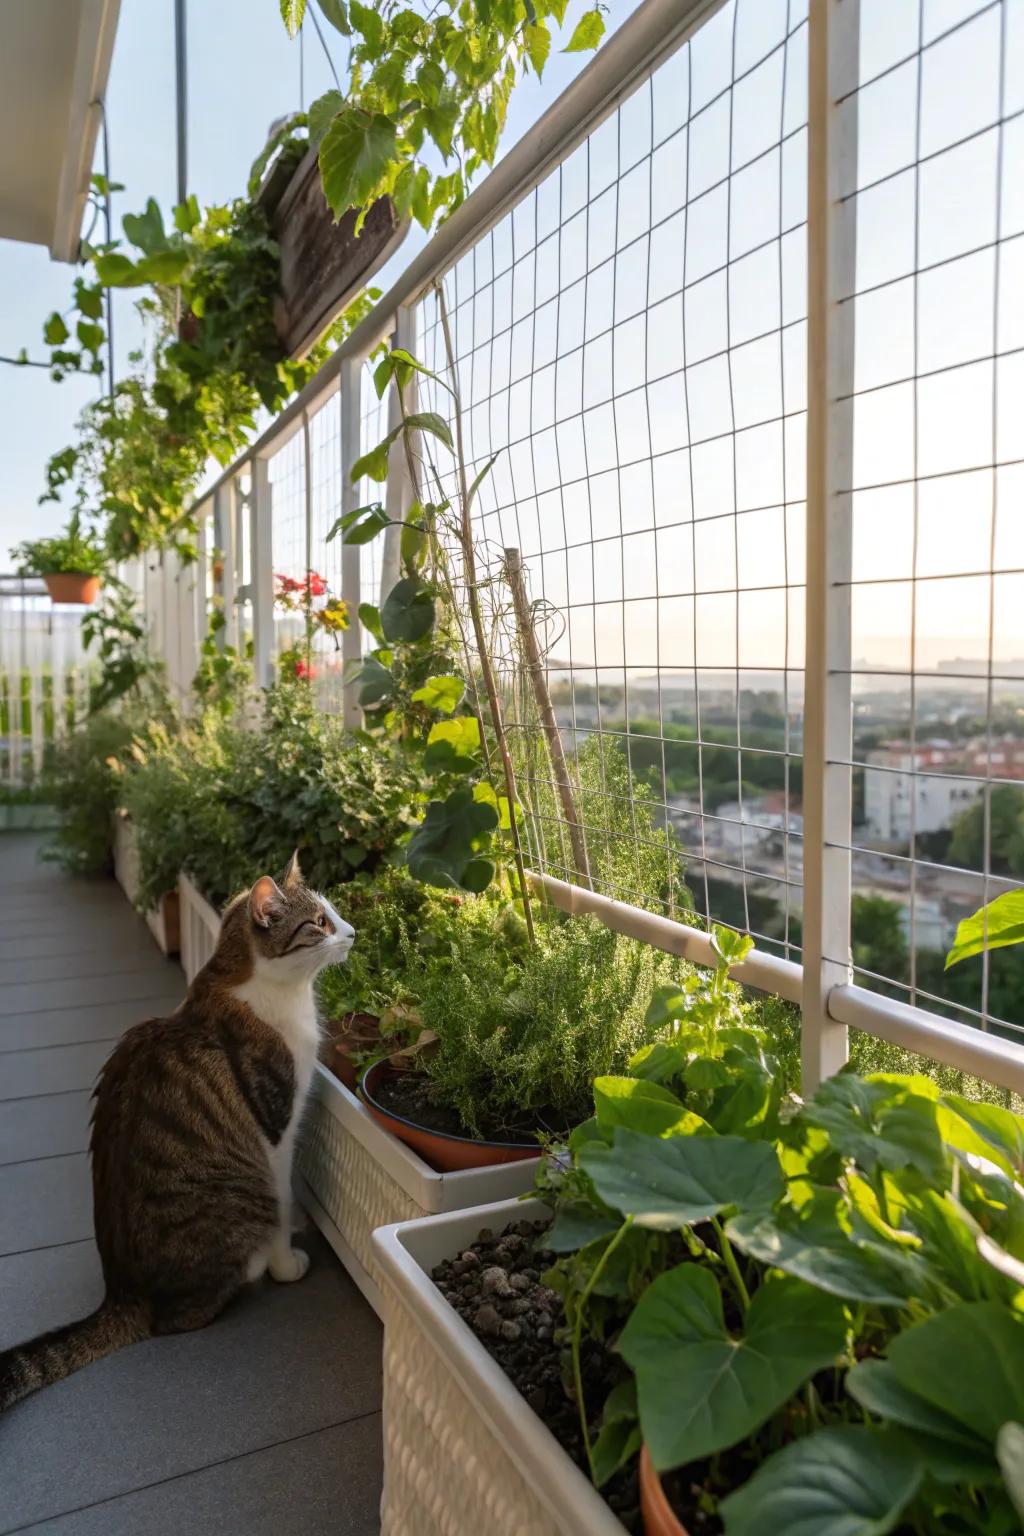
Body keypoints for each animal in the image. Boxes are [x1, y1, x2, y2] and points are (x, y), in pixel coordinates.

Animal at [0, 860, 353, 1406]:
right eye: (320, 921)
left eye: (333, 912)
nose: (354, 933)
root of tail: (123, 1294)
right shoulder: (276, 1127)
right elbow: (282, 1200)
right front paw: (286, 1261)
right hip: (240, 1199)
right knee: (180, 1318)